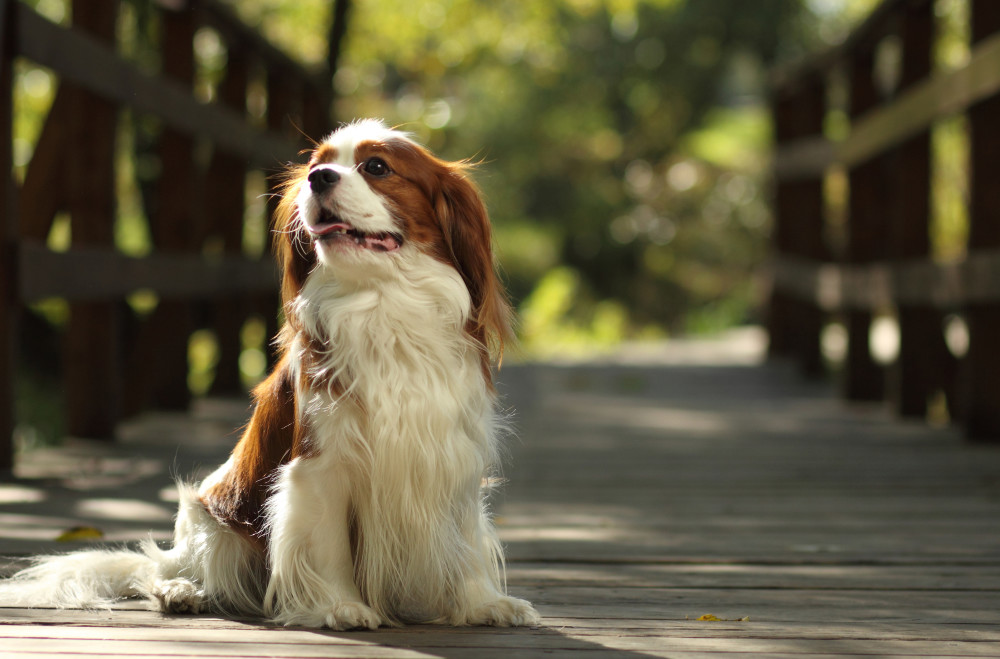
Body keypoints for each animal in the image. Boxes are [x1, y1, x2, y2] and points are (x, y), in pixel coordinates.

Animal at [1, 121, 540, 632]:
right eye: (316, 166)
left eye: (376, 167)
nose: (318, 179)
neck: (383, 303)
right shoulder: (320, 467)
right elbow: (327, 546)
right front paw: (342, 606)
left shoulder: (452, 460)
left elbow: (465, 543)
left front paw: (482, 603)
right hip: (212, 524)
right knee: (160, 569)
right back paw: (181, 592)